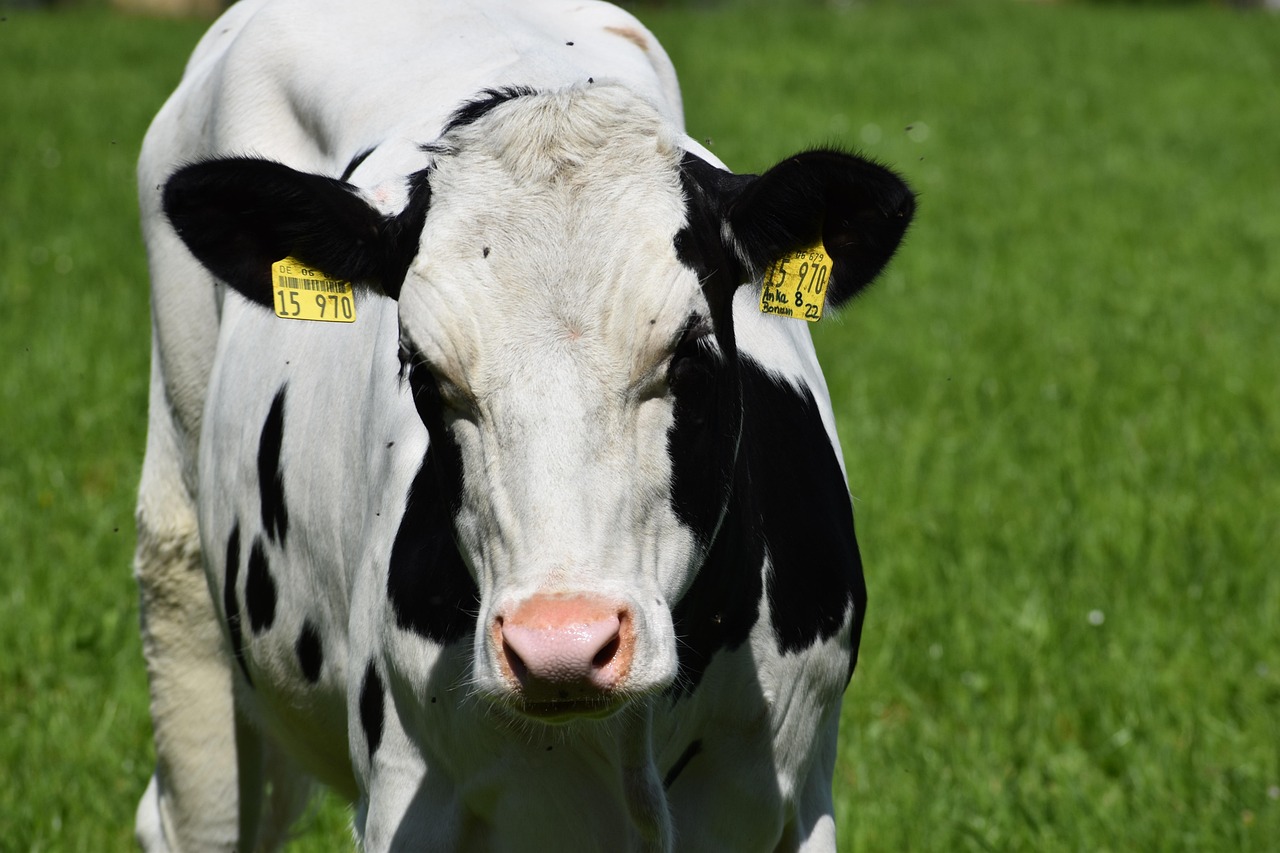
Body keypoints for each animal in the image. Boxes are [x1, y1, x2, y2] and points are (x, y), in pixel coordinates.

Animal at [131, 0, 915, 849]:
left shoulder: (798, 793)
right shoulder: (406, 791)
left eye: (691, 351)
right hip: (182, 564)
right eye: (422, 370)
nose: (559, 647)